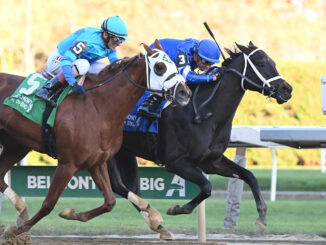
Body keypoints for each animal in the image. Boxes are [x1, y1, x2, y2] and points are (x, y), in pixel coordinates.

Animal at [0, 40, 191, 237]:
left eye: (175, 64)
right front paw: (18, 229)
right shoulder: (67, 164)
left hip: (16, 145)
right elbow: (48, 204)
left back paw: (21, 208)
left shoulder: (97, 162)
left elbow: (110, 202)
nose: (185, 93)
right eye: (160, 67)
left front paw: (69, 213)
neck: (99, 107)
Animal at [106, 41, 292, 236]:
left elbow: (249, 175)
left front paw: (262, 217)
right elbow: (207, 187)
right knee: (119, 186)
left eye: (273, 62)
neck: (205, 113)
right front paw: (176, 209)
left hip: (124, 152)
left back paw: (157, 224)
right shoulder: (176, 162)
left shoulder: (211, 161)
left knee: (129, 187)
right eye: (260, 63)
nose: (287, 89)